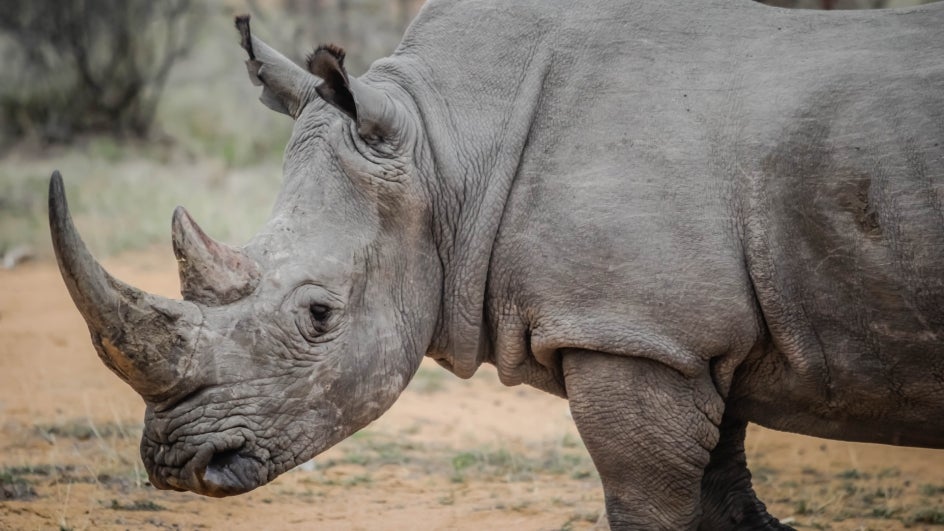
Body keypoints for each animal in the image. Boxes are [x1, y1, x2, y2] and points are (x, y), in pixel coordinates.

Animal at [48, 0, 944, 529]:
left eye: (318, 315)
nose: (178, 464)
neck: (444, 145)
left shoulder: (632, 333)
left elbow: (650, 501)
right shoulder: (683, 338)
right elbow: (725, 494)